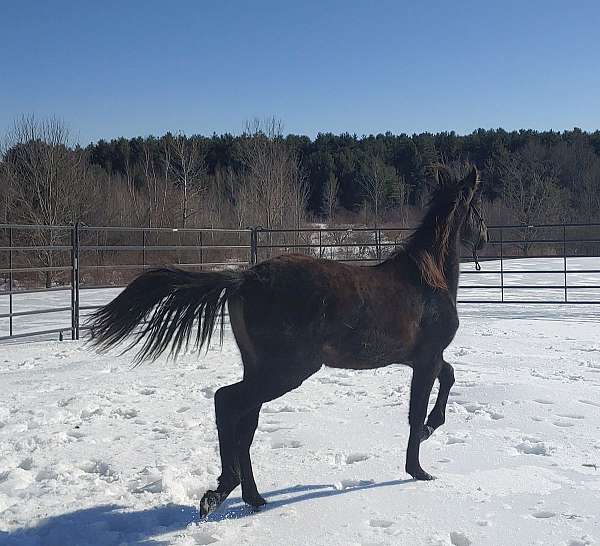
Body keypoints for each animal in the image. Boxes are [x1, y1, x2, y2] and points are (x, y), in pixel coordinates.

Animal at [92, 165, 488, 516]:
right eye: (477, 207)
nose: (484, 238)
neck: (428, 278)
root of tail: (244, 278)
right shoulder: (426, 358)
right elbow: (418, 408)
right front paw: (419, 464)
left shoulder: (420, 357)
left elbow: (449, 376)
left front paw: (428, 432)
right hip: (287, 371)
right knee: (226, 402)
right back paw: (220, 491)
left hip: (260, 369)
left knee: (244, 424)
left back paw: (252, 497)